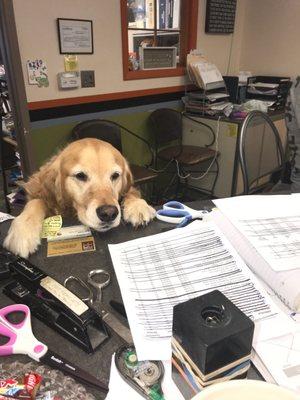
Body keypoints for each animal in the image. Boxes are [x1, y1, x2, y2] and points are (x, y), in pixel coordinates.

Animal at [3, 138, 156, 258]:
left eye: (115, 176)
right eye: (80, 175)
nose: (108, 213)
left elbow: (130, 192)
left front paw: (138, 207)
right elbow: (36, 202)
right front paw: (23, 231)